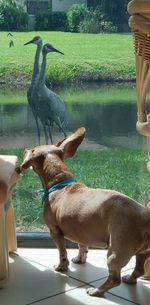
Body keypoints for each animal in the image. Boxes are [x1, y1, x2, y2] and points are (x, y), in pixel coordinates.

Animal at [19, 127, 150, 296]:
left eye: (34, 149)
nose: (25, 149)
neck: (60, 183)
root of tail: (145, 217)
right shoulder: (81, 230)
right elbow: (82, 246)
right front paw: (80, 259)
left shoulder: (55, 232)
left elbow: (62, 253)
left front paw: (61, 267)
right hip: (143, 253)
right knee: (139, 270)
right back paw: (130, 279)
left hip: (115, 253)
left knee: (115, 279)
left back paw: (97, 291)